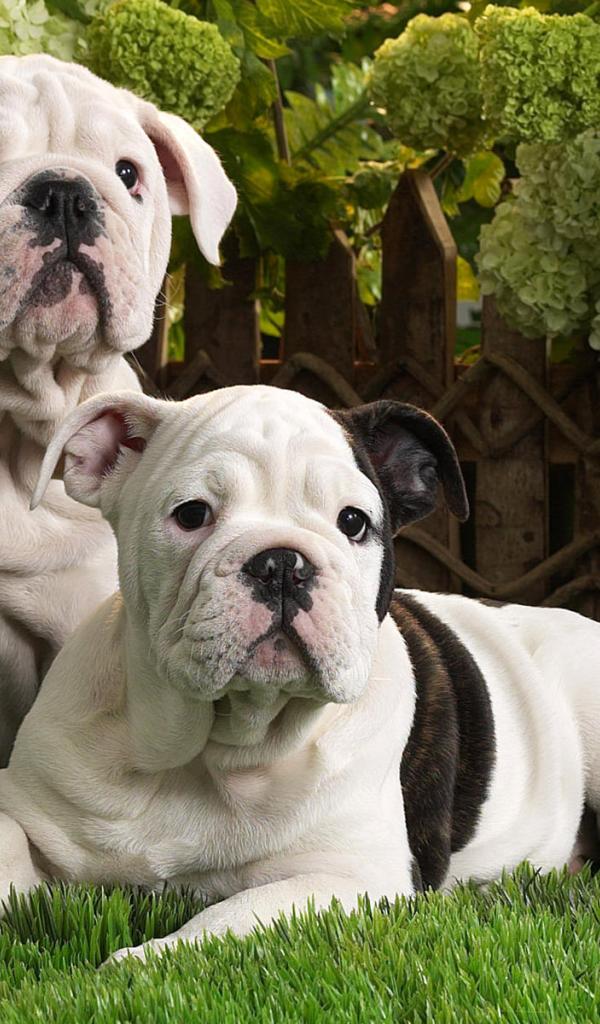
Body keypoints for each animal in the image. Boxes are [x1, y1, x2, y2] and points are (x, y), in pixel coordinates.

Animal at [0, 384, 597, 963]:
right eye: (192, 514)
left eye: (354, 522)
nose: (282, 563)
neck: (222, 746)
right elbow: (10, 848)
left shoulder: (350, 878)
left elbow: (231, 917)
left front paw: (136, 964)